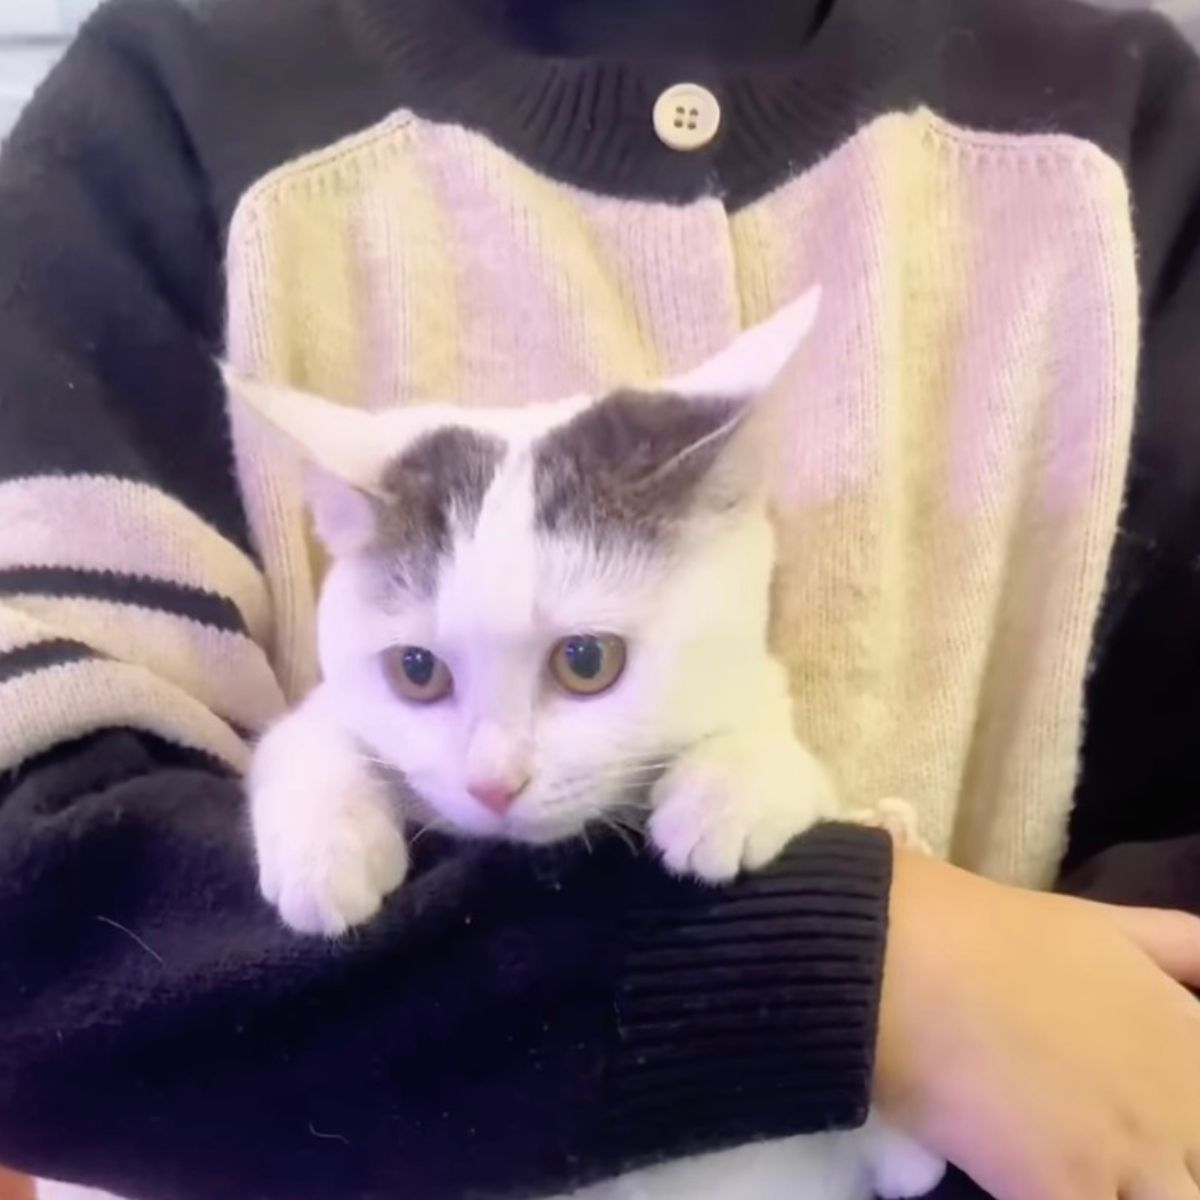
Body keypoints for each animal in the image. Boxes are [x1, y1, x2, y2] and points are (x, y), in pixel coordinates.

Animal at [225, 290, 940, 1200]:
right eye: (416, 671)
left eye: (588, 661)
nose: (493, 784)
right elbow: (305, 732)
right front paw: (326, 854)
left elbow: (914, 1163)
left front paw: (736, 786)